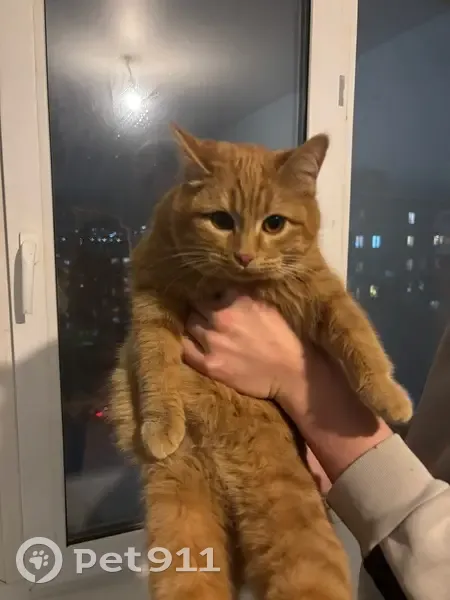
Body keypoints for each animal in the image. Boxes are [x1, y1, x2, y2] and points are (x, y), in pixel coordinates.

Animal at [109, 125, 413, 600]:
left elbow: (358, 336)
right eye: (220, 220)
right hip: (181, 512)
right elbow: (156, 368)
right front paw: (161, 427)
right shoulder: (152, 302)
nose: (245, 256)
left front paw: (388, 396)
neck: (230, 282)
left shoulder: (319, 290)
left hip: (294, 525)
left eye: (274, 223)